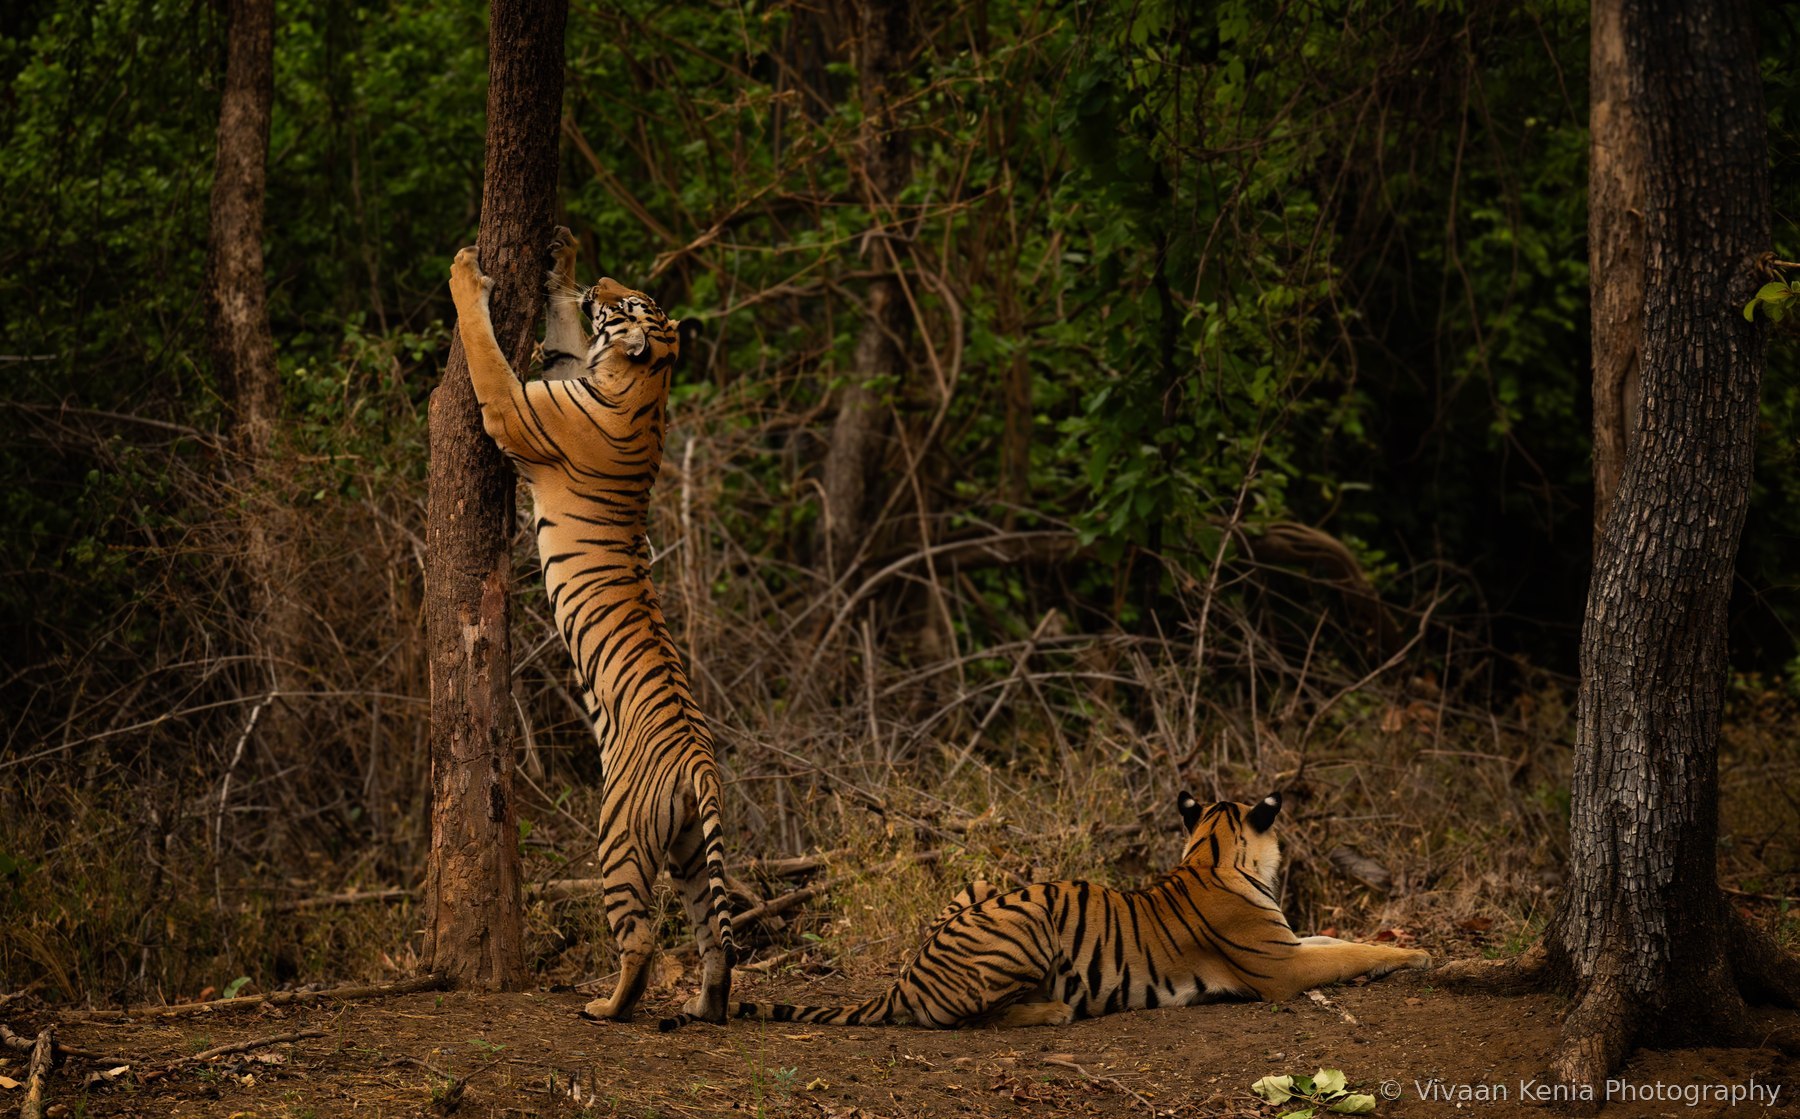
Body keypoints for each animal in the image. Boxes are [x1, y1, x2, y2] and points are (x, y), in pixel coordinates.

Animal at [447, 229, 733, 1023]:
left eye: (628, 304)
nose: (603, 282)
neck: (647, 381)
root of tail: (700, 764)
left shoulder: (515, 407)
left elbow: (485, 349)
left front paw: (465, 273)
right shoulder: (566, 368)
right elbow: (561, 338)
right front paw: (564, 260)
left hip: (618, 837)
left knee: (641, 938)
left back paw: (608, 1008)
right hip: (692, 854)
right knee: (715, 938)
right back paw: (703, 1008)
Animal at [663, 791, 1427, 1030]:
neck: (1214, 850)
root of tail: (902, 979)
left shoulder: (1291, 943)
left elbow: (1335, 937)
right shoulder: (1280, 969)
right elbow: (1349, 951)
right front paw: (1415, 952)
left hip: (982, 889)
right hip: (1027, 918)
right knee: (972, 1017)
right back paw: (1054, 1011)